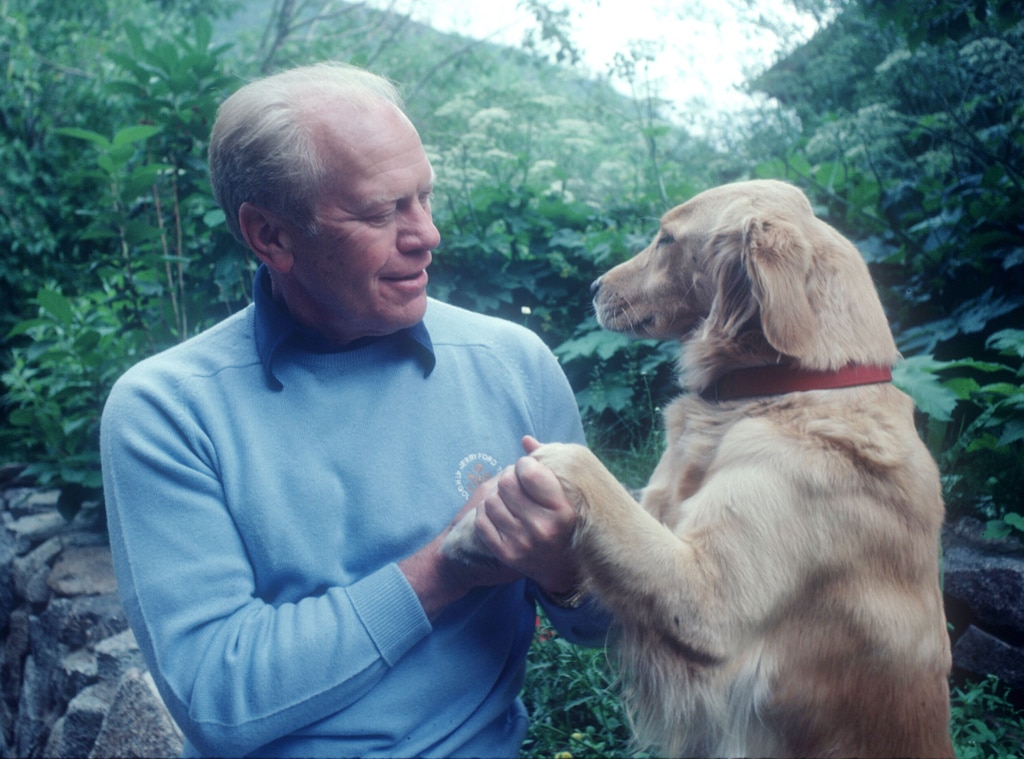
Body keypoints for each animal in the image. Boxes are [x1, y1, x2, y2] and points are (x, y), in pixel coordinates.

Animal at [444, 180, 954, 753]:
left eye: (666, 239)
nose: (593, 287)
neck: (786, 387)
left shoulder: (709, 602)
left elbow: (578, 463)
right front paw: (468, 535)